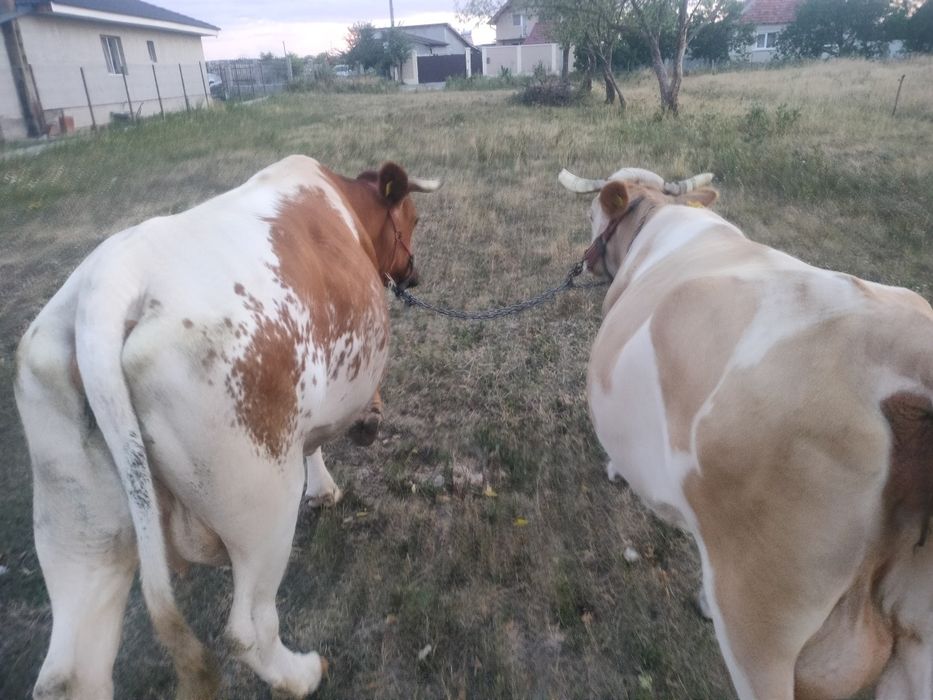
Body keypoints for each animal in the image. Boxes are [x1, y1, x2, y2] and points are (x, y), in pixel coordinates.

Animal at [14, 155, 440, 699]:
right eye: (413, 218)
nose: (414, 273)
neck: (343, 202)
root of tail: (105, 288)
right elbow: (320, 441)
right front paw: (338, 467)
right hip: (262, 504)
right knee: (248, 626)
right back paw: (300, 675)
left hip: (76, 527)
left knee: (70, 671)